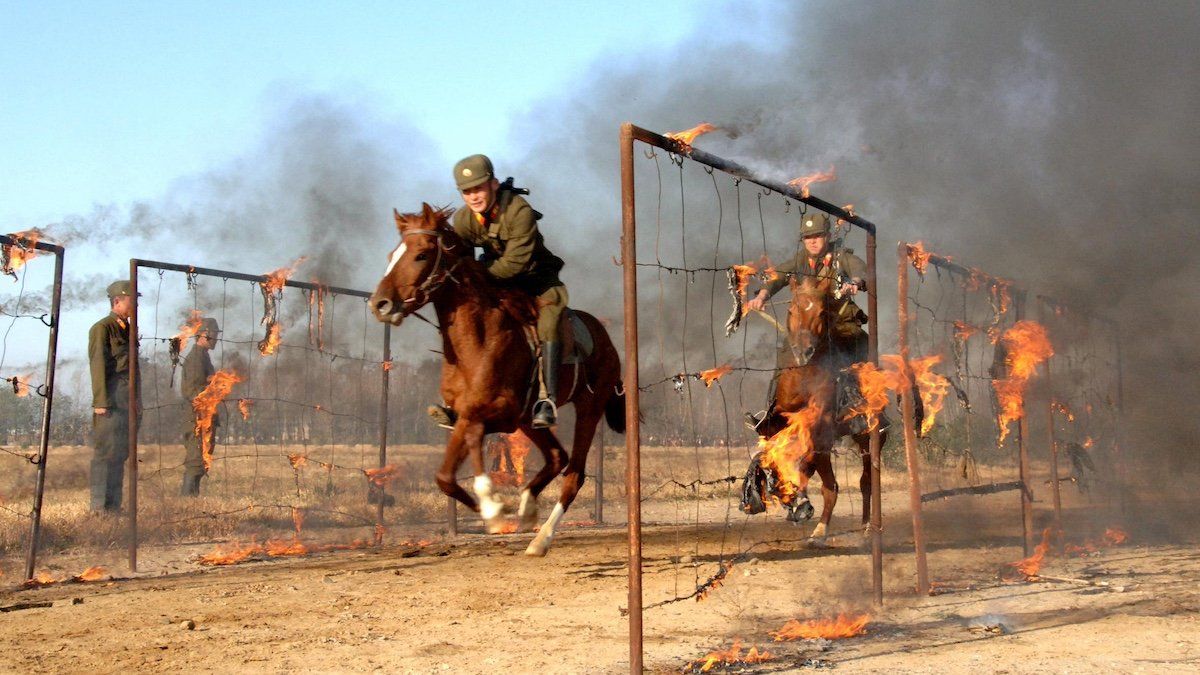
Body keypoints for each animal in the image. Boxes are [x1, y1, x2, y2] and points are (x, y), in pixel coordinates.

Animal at [369, 201, 624, 554]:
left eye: (421, 254)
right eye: (392, 254)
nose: (380, 304)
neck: (476, 341)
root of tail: (604, 337)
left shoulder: (499, 414)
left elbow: (474, 440)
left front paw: (492, 506)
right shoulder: (468, 415)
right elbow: (445, 477)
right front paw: (491, 509)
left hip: (589, 406)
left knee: (574, 475)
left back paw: (541, 539)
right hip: (530, 421)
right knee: (556, 457)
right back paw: (527, 509)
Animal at [758, 270, 883, 538]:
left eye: (821, 312)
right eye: (792, 310)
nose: (804, 351)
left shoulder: (820, 430)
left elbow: (829, 484)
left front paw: (818, 525)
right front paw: (795, 502)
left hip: (867, 436)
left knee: (864, 480)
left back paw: (865, 524)